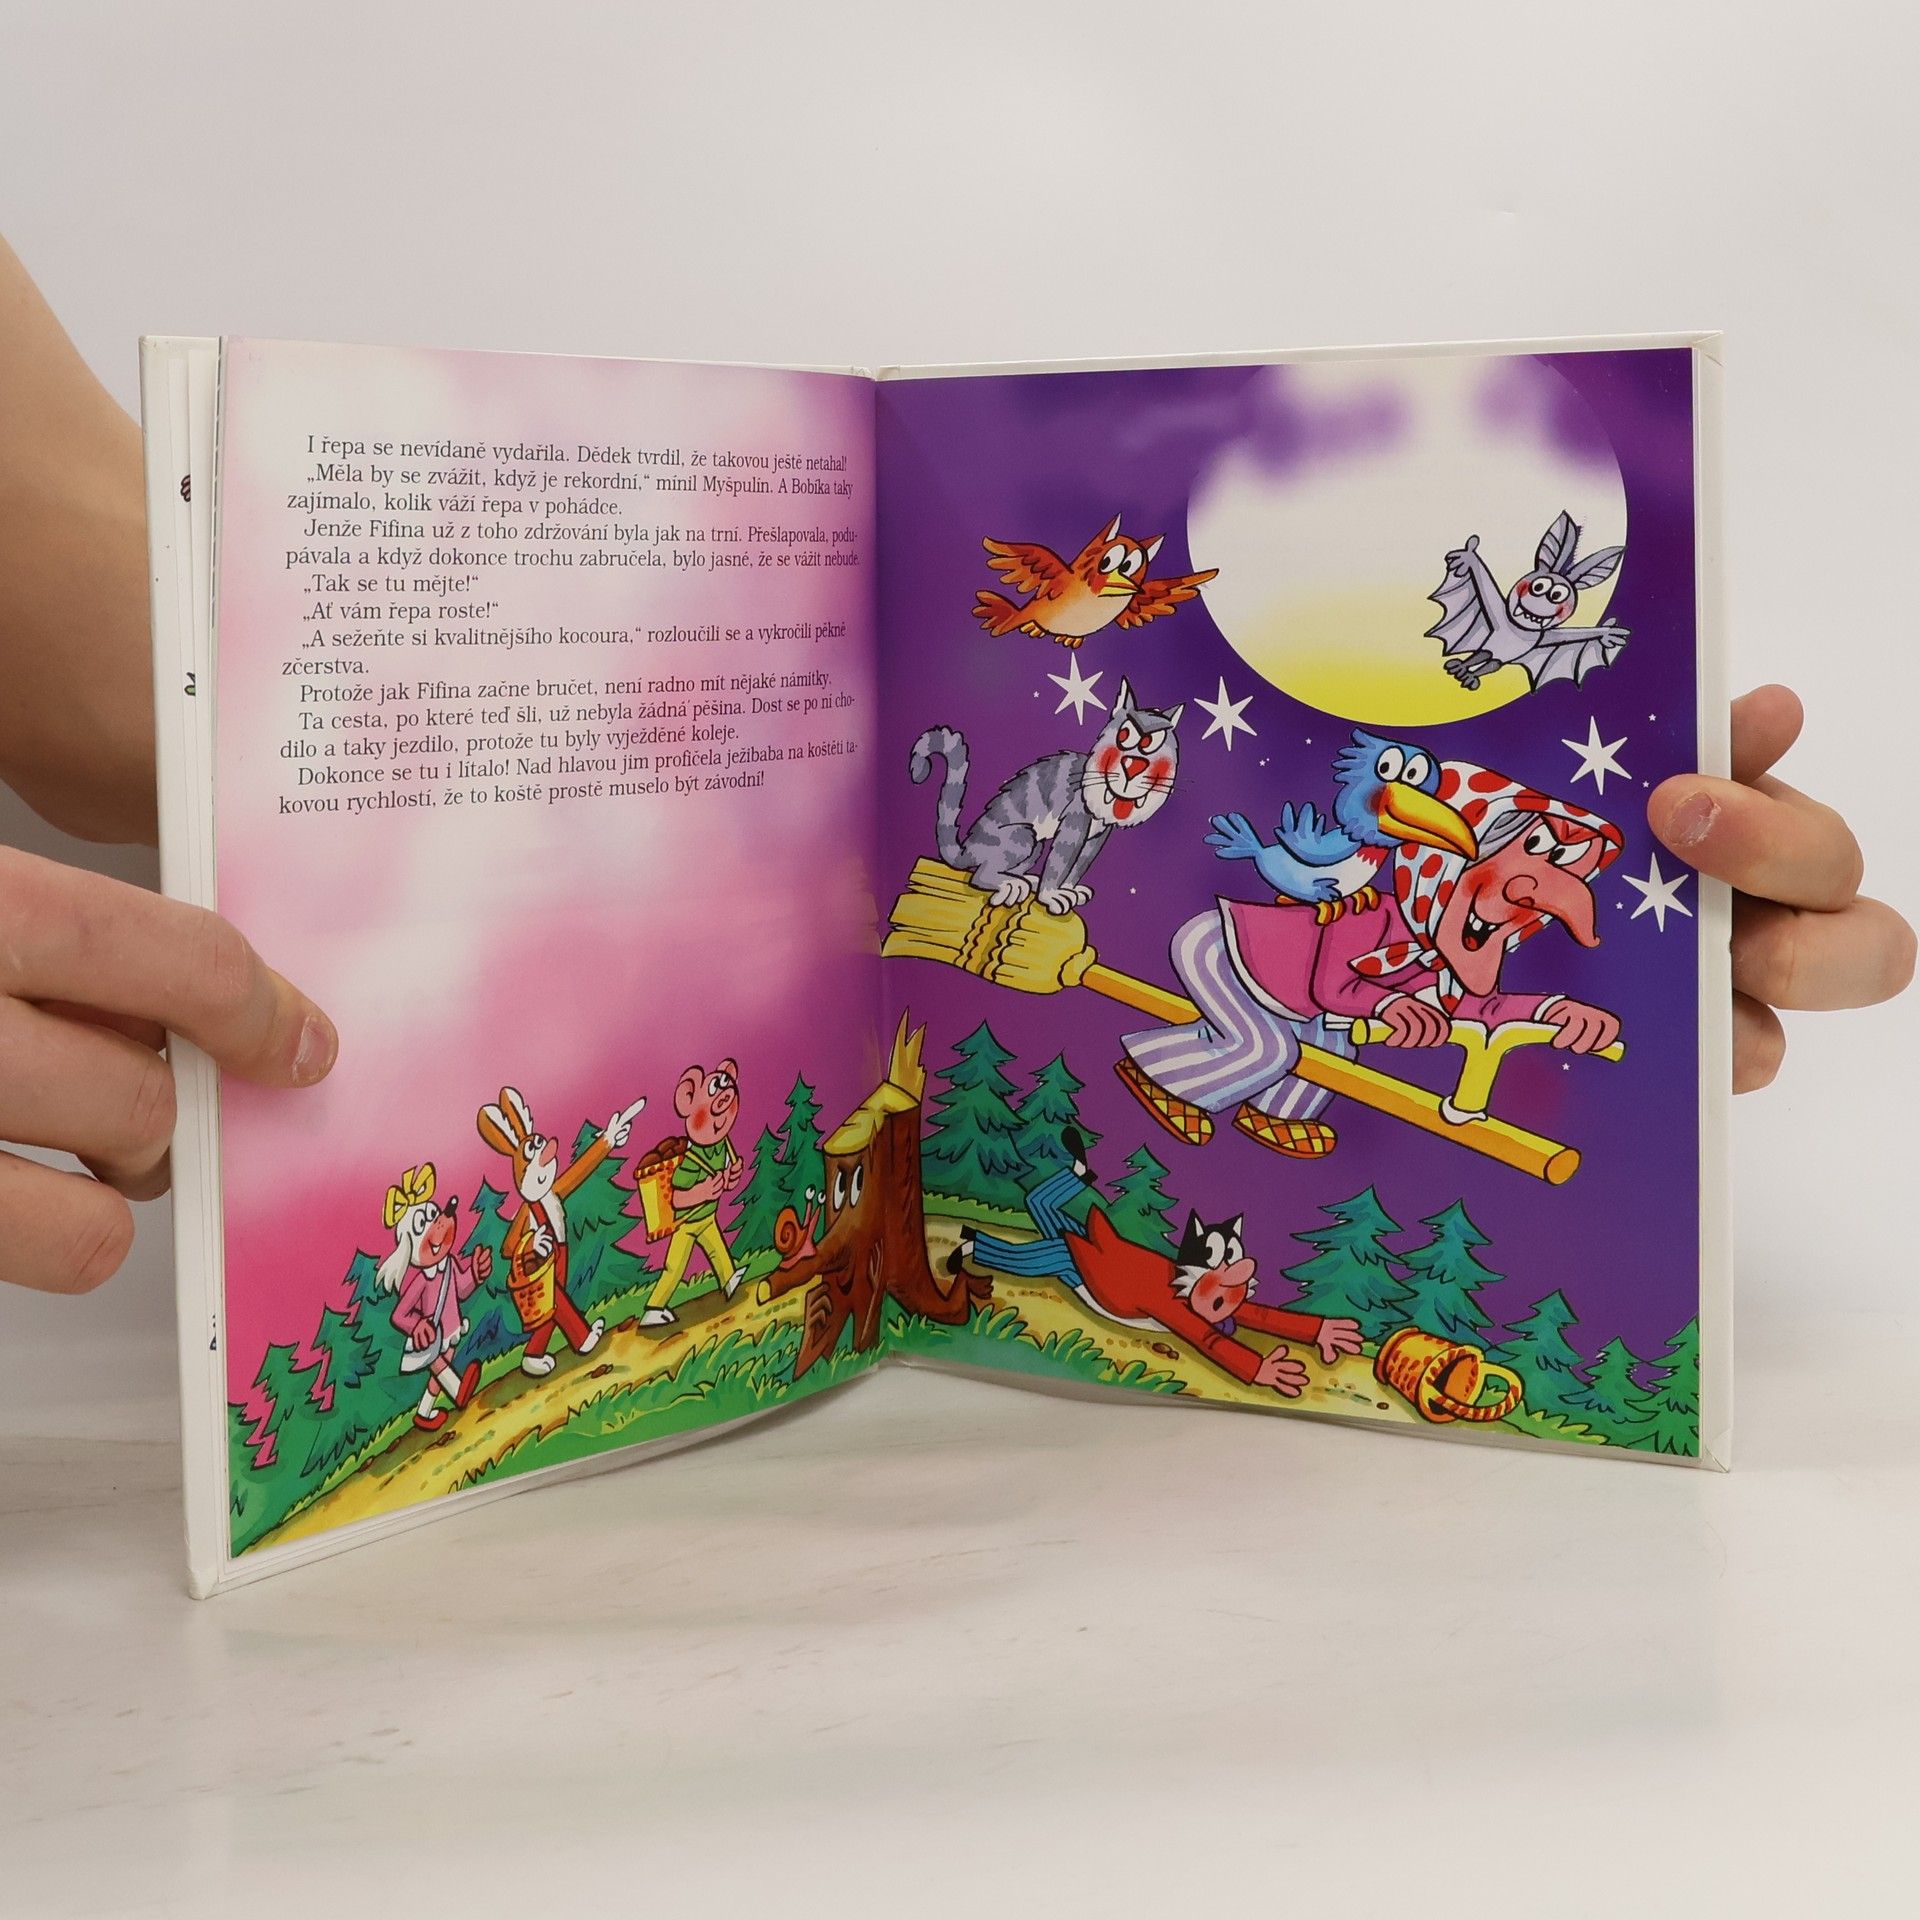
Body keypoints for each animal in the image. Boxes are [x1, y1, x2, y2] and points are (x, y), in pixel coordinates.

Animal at [476, 1085, 645, 1377]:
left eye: (538, 1140)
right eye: (530, 1148)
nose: (544, 1143)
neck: (541, 1196)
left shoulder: (557, 1189)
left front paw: (615, 1132)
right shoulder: (525, 1213)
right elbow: (509, 1246)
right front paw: (537, 1241)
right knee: (557, 1305)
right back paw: (545, 1358)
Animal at [909, 681, 1181, 915]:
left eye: (1152, 742)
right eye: (1124, 735)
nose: (1132, 767)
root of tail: (967, 848)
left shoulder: (1099, 835)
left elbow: (1080, 863)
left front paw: (1069, 889)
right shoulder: (1075, 818)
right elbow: (1060, 861)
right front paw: (1051, 895)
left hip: (1034, 846)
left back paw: (1021, 879)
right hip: (1021, 836)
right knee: (980, 874)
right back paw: (1009, 883)